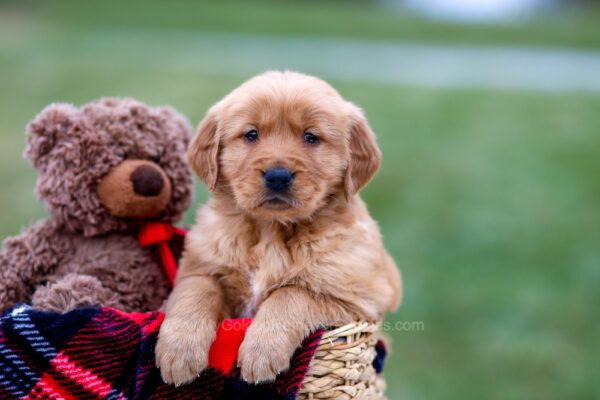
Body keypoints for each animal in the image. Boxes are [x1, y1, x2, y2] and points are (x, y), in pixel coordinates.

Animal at [155, 71, 400, 384]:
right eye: (251, 134)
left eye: (311, 137)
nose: (278, 176)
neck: (271, 230)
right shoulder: (199, 266)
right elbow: (196, 290)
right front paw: (178, 352)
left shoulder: (357, 298)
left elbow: (292, 294)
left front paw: (261, 352)